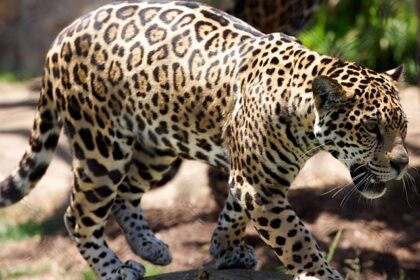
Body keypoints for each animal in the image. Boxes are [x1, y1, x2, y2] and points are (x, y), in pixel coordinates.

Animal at [0, 1, 408, 278]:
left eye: (403, 128)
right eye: (371, 128)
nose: (403, 163)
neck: (304, 116)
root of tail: (61, 37)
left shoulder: (248, 178)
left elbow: (232, 213)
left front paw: (223, 249)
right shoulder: (260, 186)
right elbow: (296, 238)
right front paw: (320, 273)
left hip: (157, 143)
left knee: (126, 194)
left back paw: (152, 248)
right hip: (102, 148)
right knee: (79, 215)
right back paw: (115, 269)